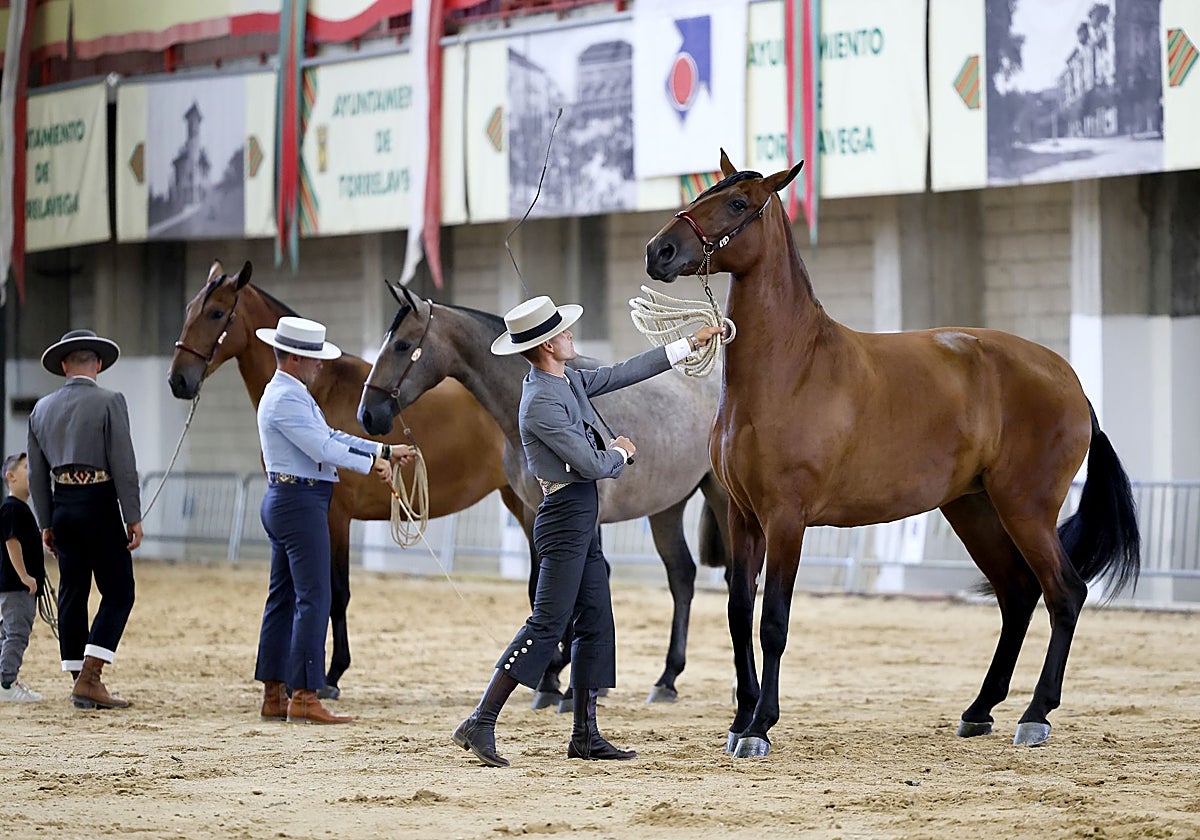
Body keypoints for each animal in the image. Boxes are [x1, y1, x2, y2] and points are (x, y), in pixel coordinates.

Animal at [168, 260, 529, 699]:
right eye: (189, 310)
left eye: (217, 313)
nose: (178, 380)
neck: (319, 390)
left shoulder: (335, 515)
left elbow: (336, 592)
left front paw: (330, 676)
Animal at [644, 151, 1140, 757]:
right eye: (703, 193)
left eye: (737, 203)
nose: (659, 252)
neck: (789, 366)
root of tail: (1069, 380)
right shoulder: (743, 516)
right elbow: (740, 613)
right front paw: (739, 722)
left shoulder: (787, 519)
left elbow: (773, 621)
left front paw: (760, 727)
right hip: (974, 510)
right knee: (1018, 594)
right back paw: (979, 710)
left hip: (1025, 509)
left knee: (1064, 594)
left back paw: (1035, 715)